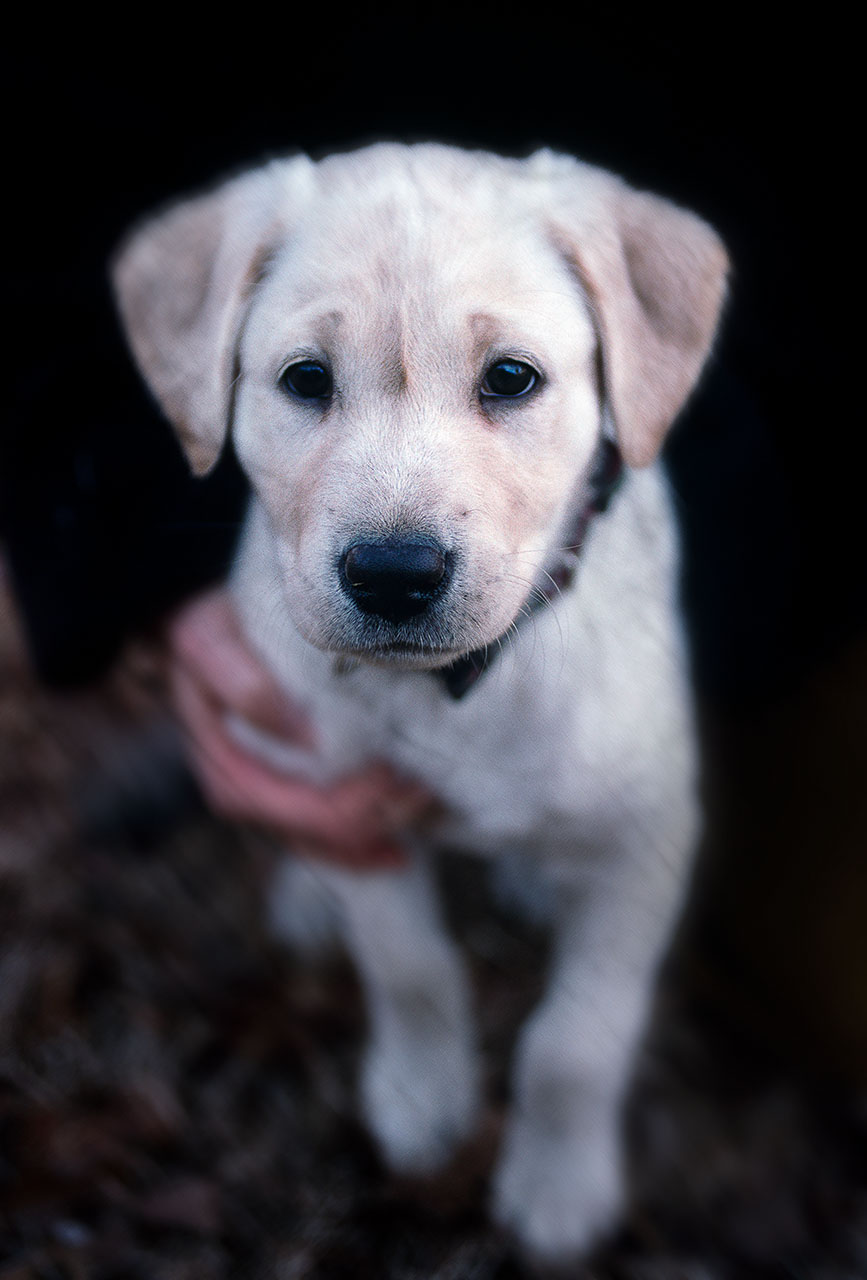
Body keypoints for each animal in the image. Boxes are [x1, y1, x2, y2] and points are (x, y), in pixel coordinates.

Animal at [111, 145, 727, 1264]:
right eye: (305, 380)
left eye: (511, 378)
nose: (393, 574)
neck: (463, 688)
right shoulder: (349, 800)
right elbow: (411, 967)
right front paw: (420, 1096)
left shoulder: (645, 836)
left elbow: (575, 1040)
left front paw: (559, 1186)